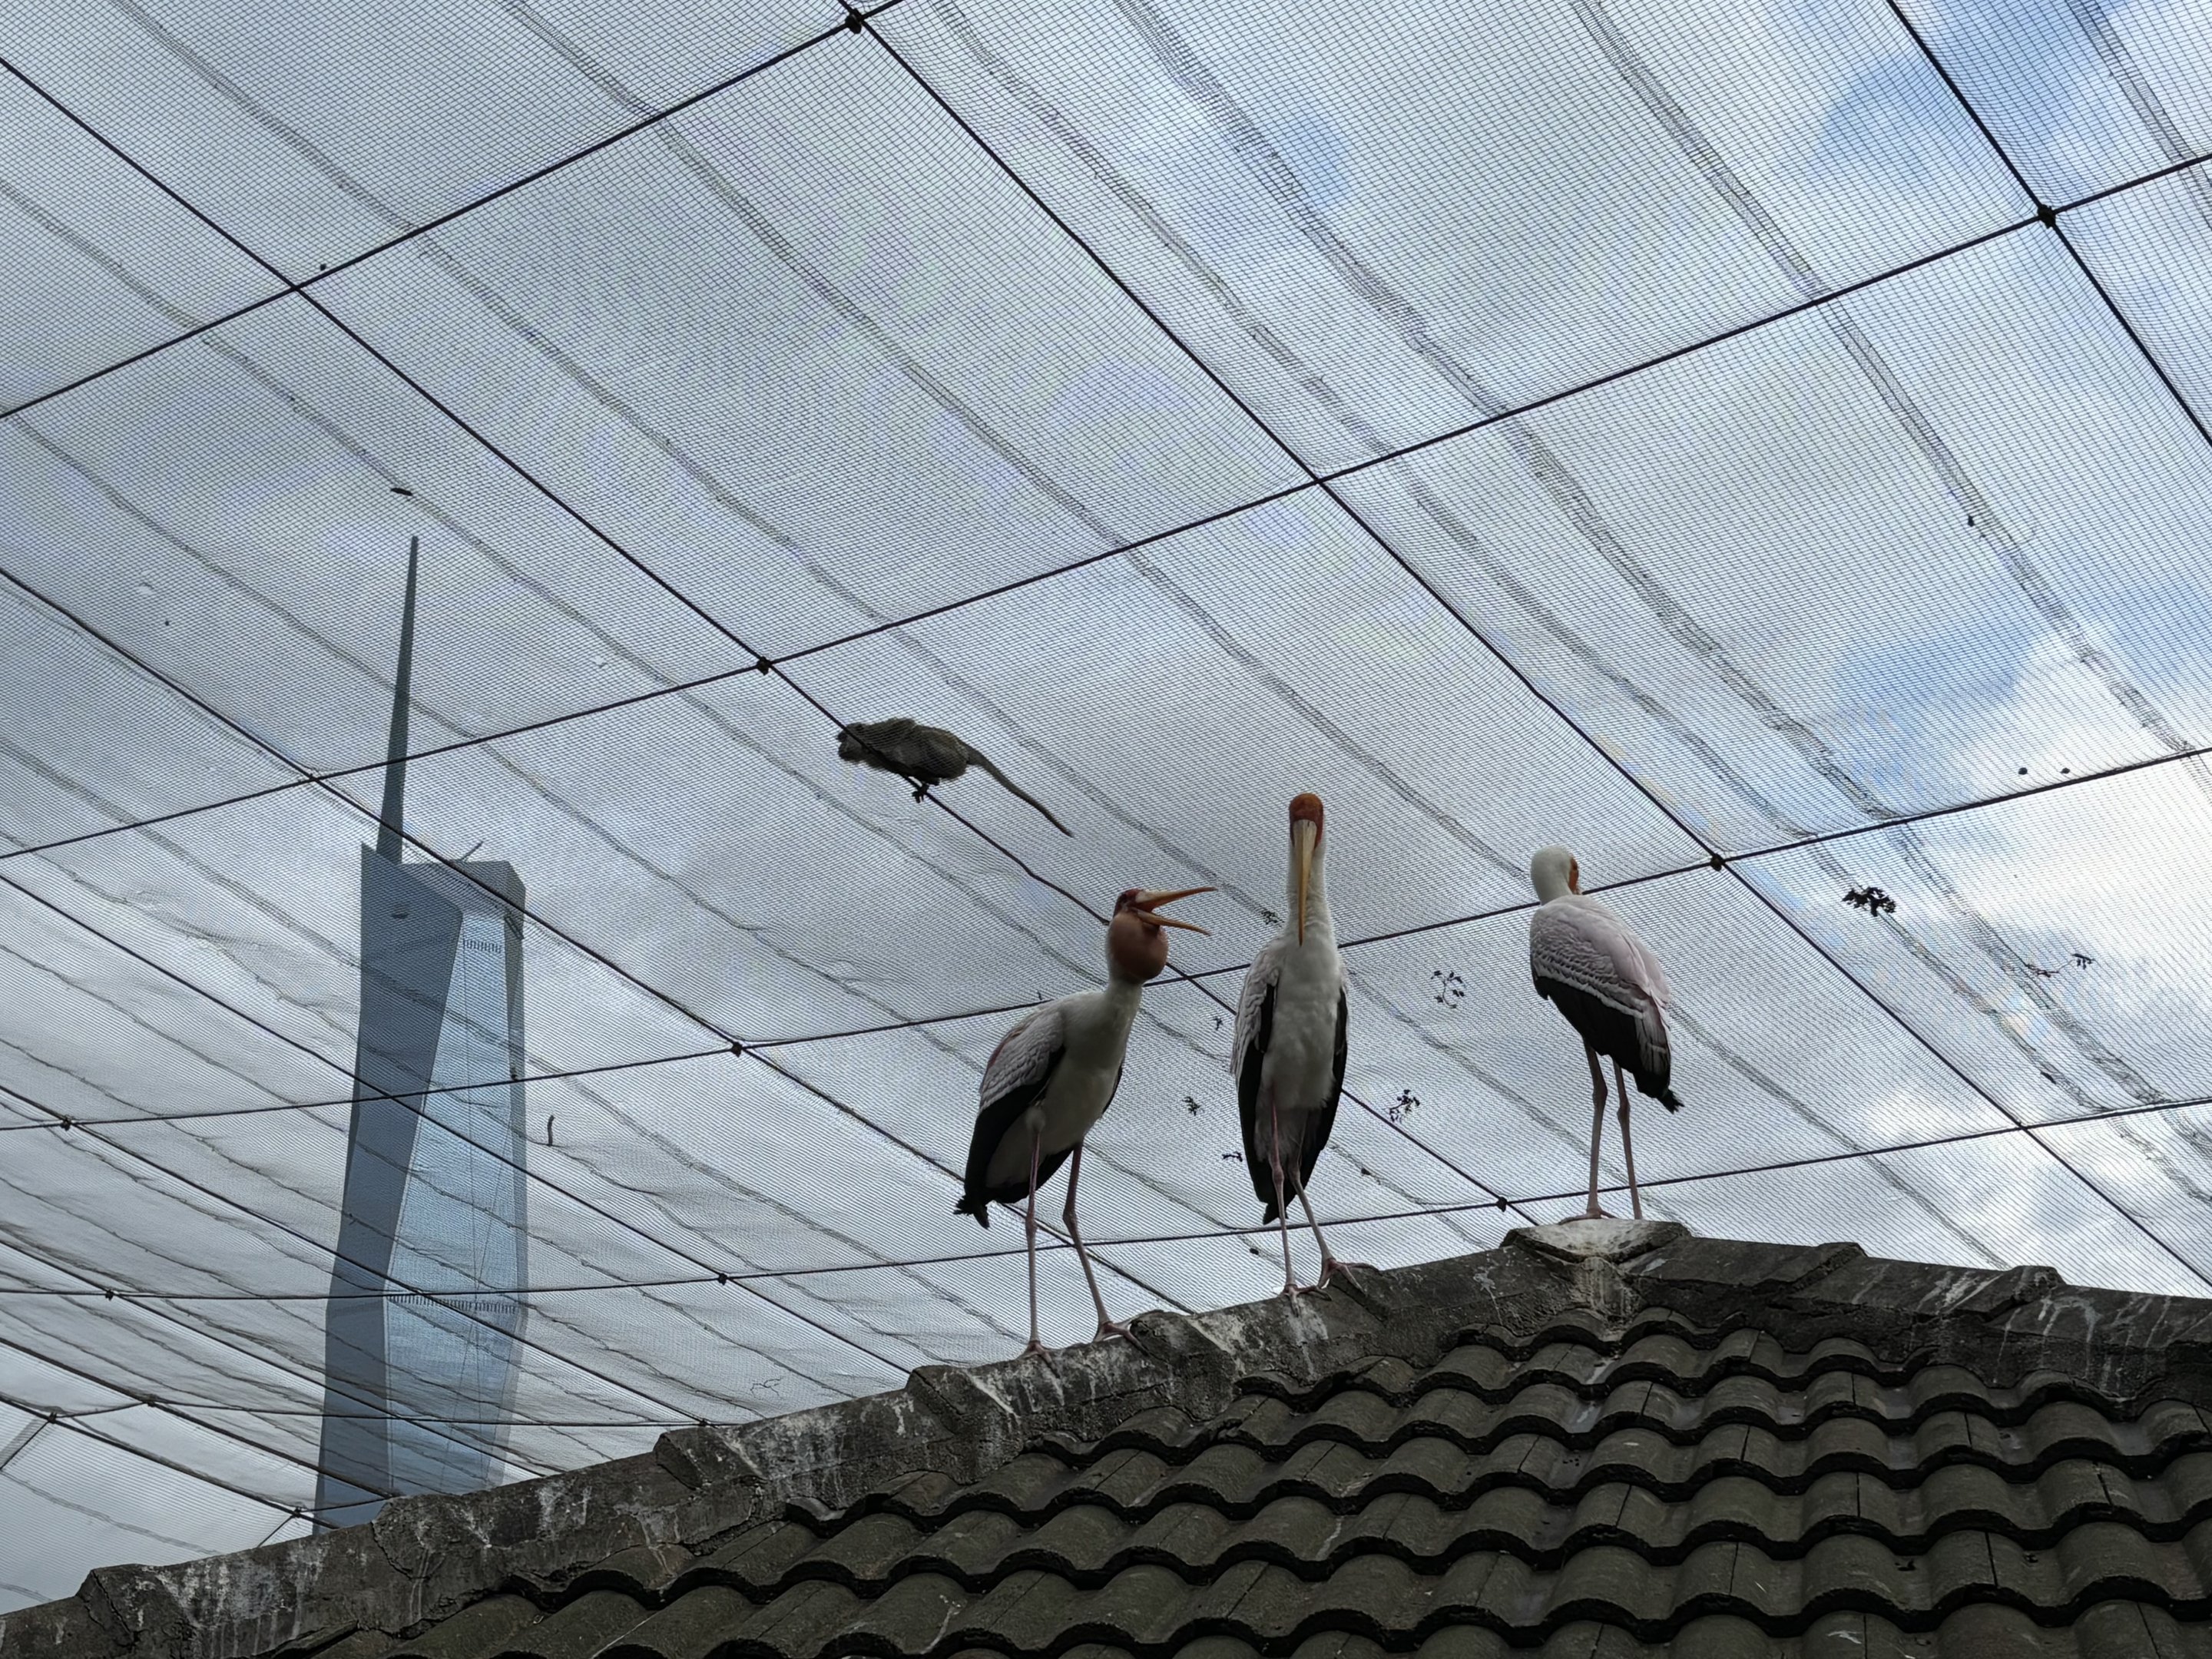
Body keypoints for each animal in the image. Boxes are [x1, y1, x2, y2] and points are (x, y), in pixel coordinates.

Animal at [836, 718, 1073, 836]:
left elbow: (906, 726)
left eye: (844, 738)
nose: (840, 747)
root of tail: (964, 751)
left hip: (949, 755)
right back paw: (926, 779)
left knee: (922, 738)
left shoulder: (882, 732)